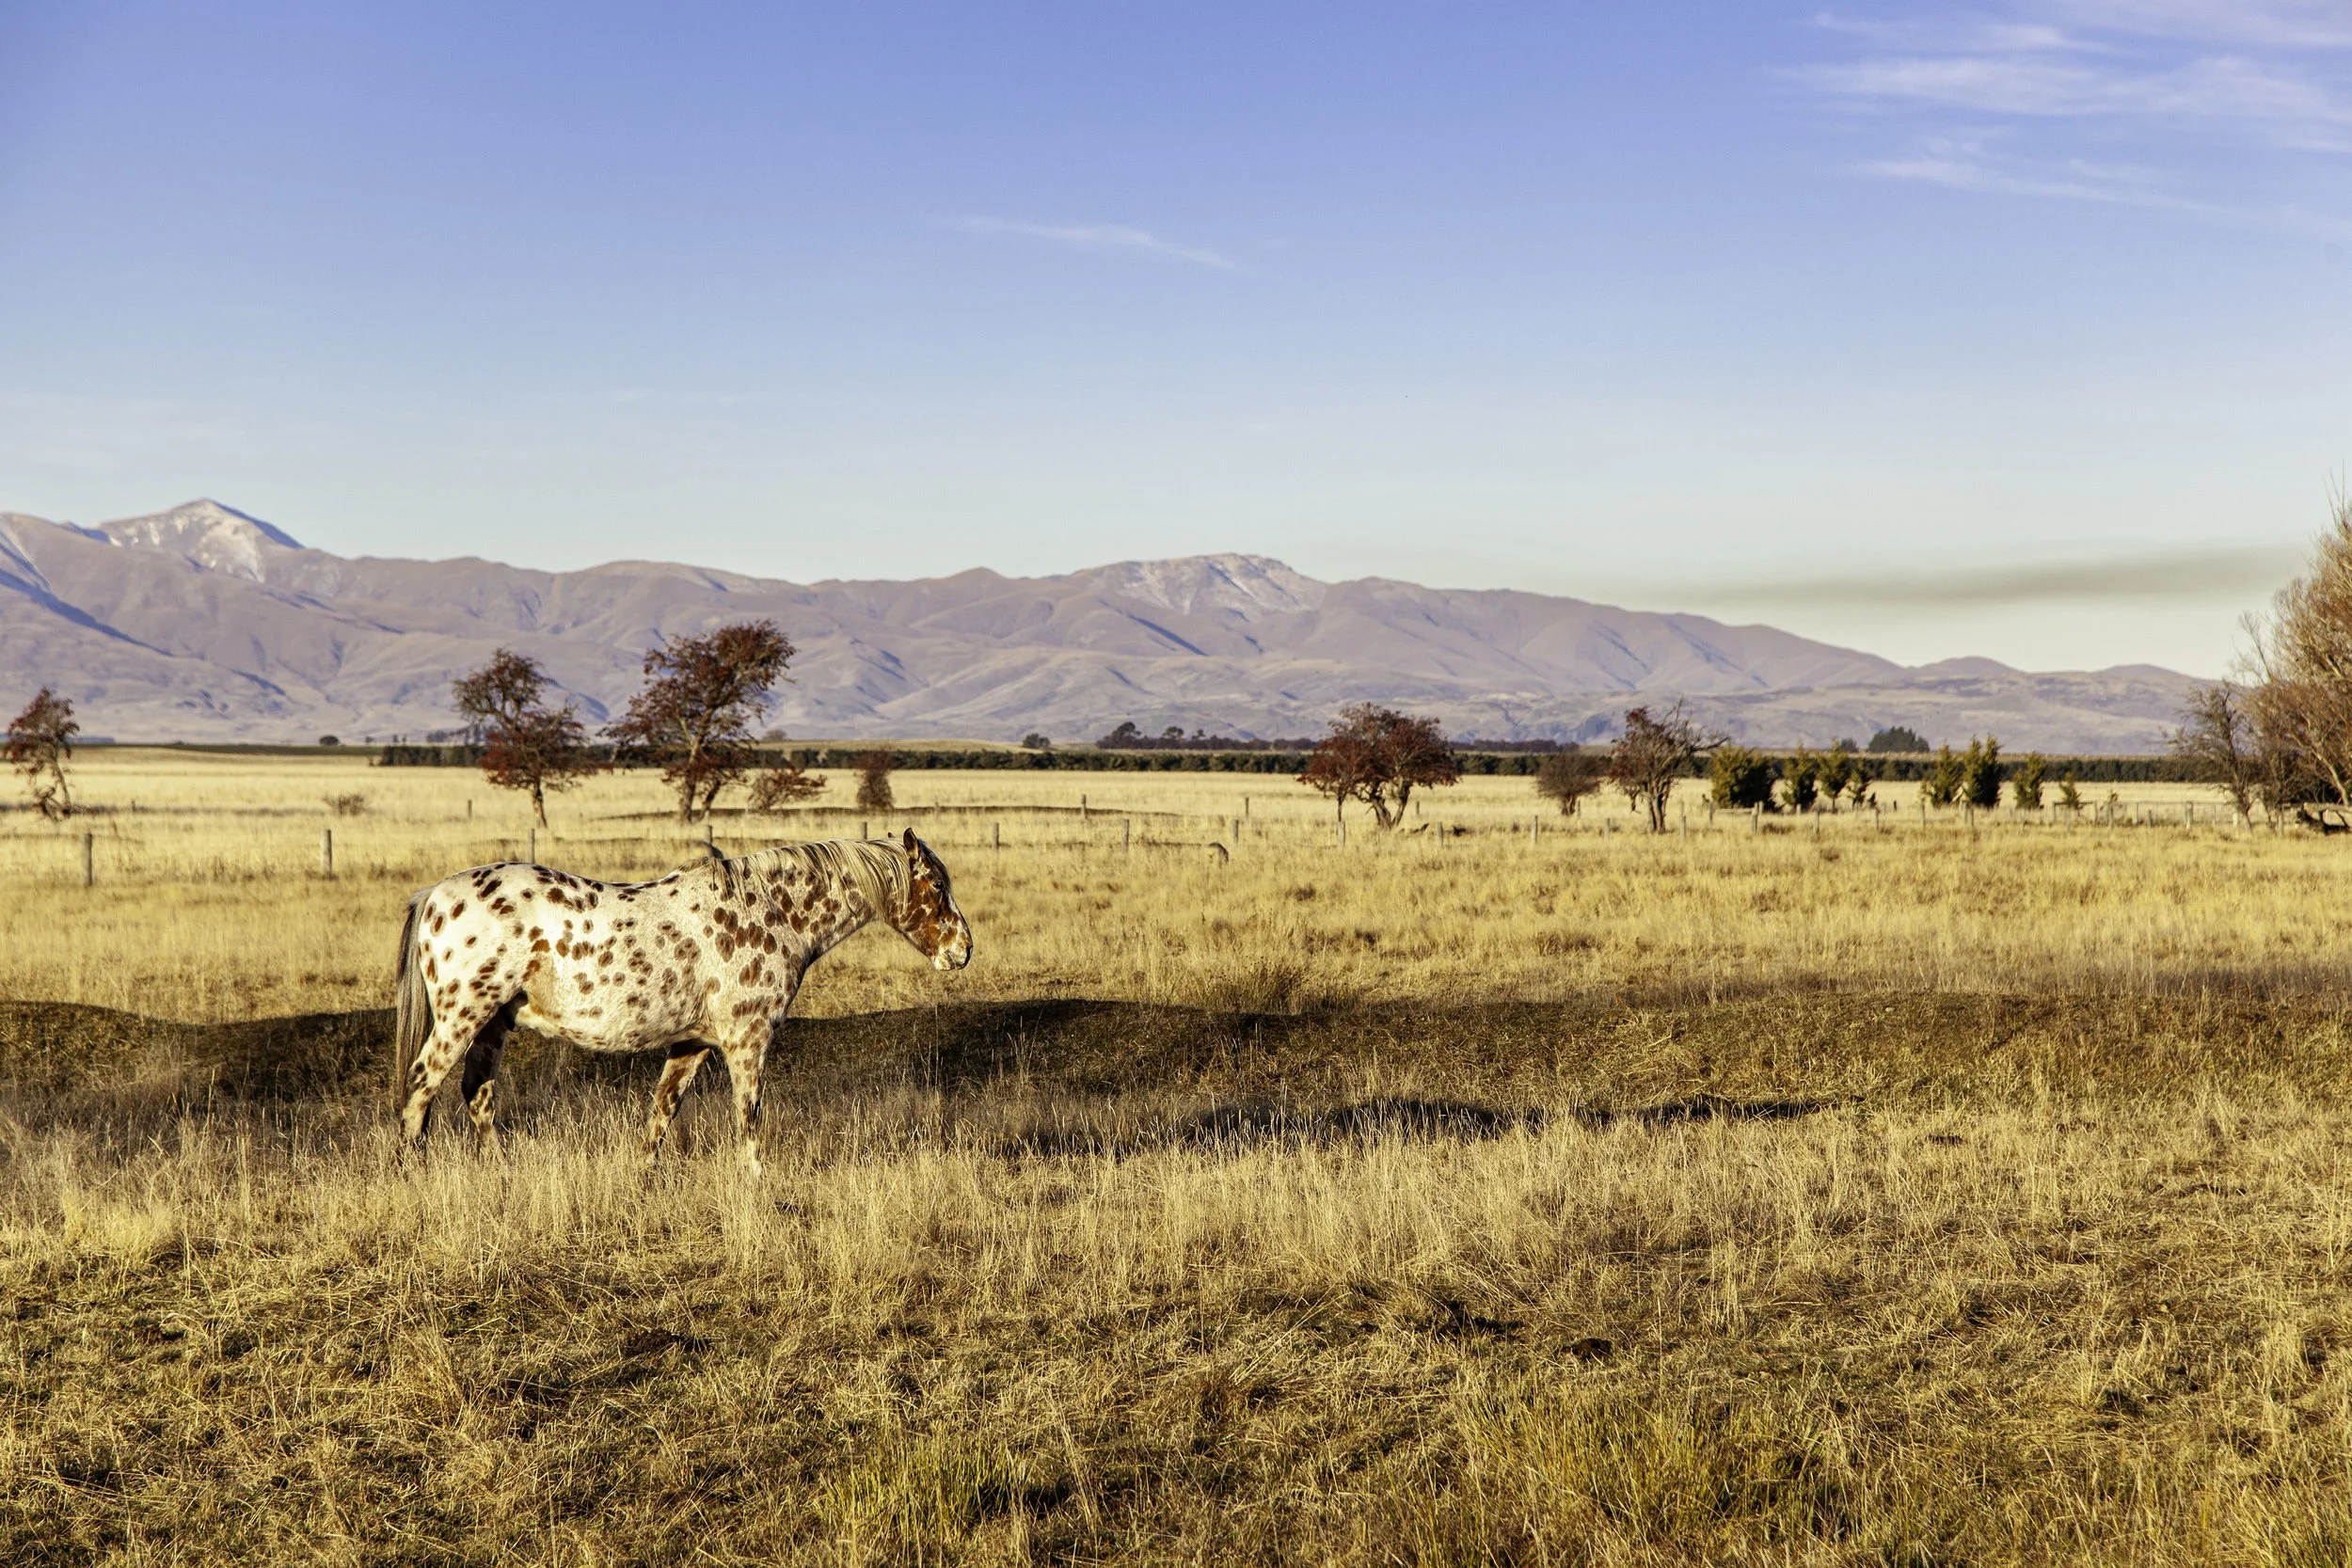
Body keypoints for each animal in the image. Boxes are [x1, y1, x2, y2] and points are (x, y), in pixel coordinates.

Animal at [392, 828, 972, 1172]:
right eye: (937, 887)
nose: (962, 950)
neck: (770, 912)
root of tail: (435, 896)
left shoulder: (692, 1044)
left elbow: (661, 1114)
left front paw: (643, 1181)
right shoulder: (746, 1040)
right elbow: (748, 1116)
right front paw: (756, 1182)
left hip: (493, 1023)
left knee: (476, 1092)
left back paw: (502, 1171)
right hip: (463, 1016)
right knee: (422, 1087)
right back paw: (411, 1172)